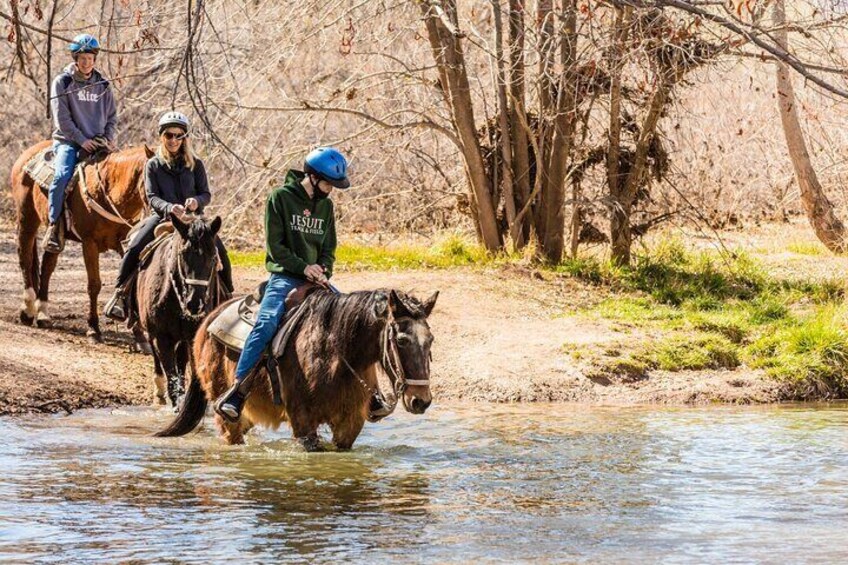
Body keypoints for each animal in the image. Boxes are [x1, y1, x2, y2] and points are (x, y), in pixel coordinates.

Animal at [9, 141, 152, 342]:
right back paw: (28, 311)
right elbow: (94, 285)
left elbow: (128, 281)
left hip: (56, 236)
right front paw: (93, 328)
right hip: (26, 219)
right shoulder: (89, 243)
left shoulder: (127, 243)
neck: (108, 191)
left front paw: (139, 334)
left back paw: (43, 313)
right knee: (25, 259)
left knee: (47, 266)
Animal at [135, 215, 224, 406]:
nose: (195, 303)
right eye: (183, 255)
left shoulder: (192, 337)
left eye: (213, 257)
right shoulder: (161, 338)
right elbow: (172, 382)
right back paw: (159, 391)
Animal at [157, 286, 440, 450]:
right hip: (227, 414)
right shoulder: (304, 425)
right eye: (401, 340)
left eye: (431, 340)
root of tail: (208, 319)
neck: (335, 354)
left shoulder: (349, 426)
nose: (421, 401)